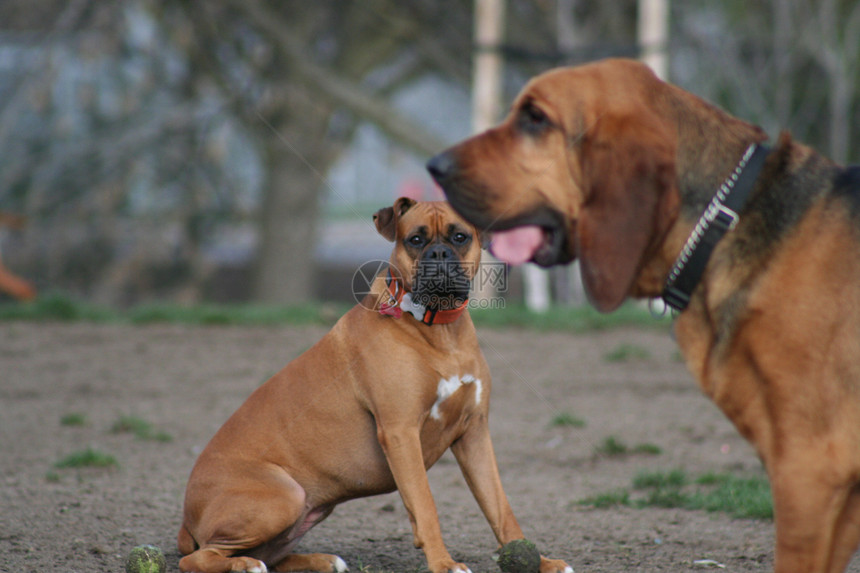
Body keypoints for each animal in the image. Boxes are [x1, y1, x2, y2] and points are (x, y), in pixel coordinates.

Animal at [176, 198, 572, 572]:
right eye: (415, 239)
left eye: (460, 237)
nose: (438, 254)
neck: (437, 328)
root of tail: (185, 515)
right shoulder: (401, 433)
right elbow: (425, 505)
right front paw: (443, 563)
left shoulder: (474, 433)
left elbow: (499, 506)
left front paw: (537, 560)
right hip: (284, 495)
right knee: (197, 558)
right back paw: (243, 564)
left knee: (270, 555)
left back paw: (320, 560)